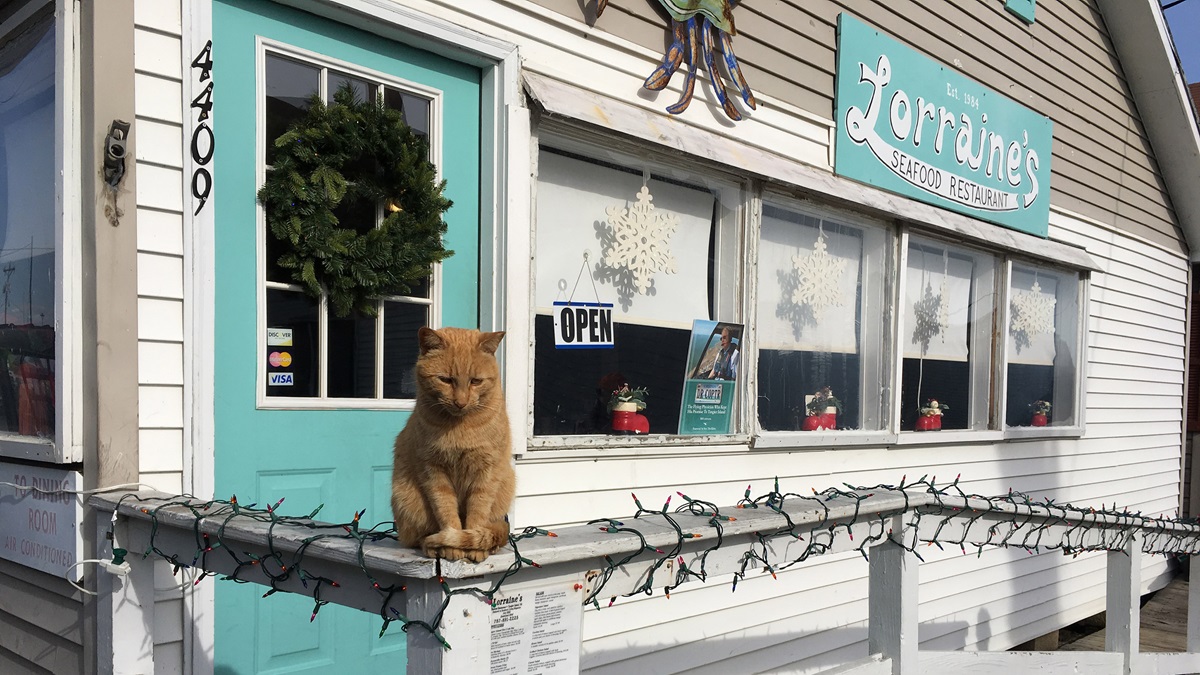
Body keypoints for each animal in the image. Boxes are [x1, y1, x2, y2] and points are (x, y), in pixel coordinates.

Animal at [388, 326, 511, 562]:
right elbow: (446, 510)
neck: (459, 426)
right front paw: (452, 546)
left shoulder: (487, 472)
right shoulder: (433, 472)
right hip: (407, 499)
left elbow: (477, 513)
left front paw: (474, 546)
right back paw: (434, 547)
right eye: (445, 380)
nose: (460, 402)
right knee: (419, 537)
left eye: (475, 381)